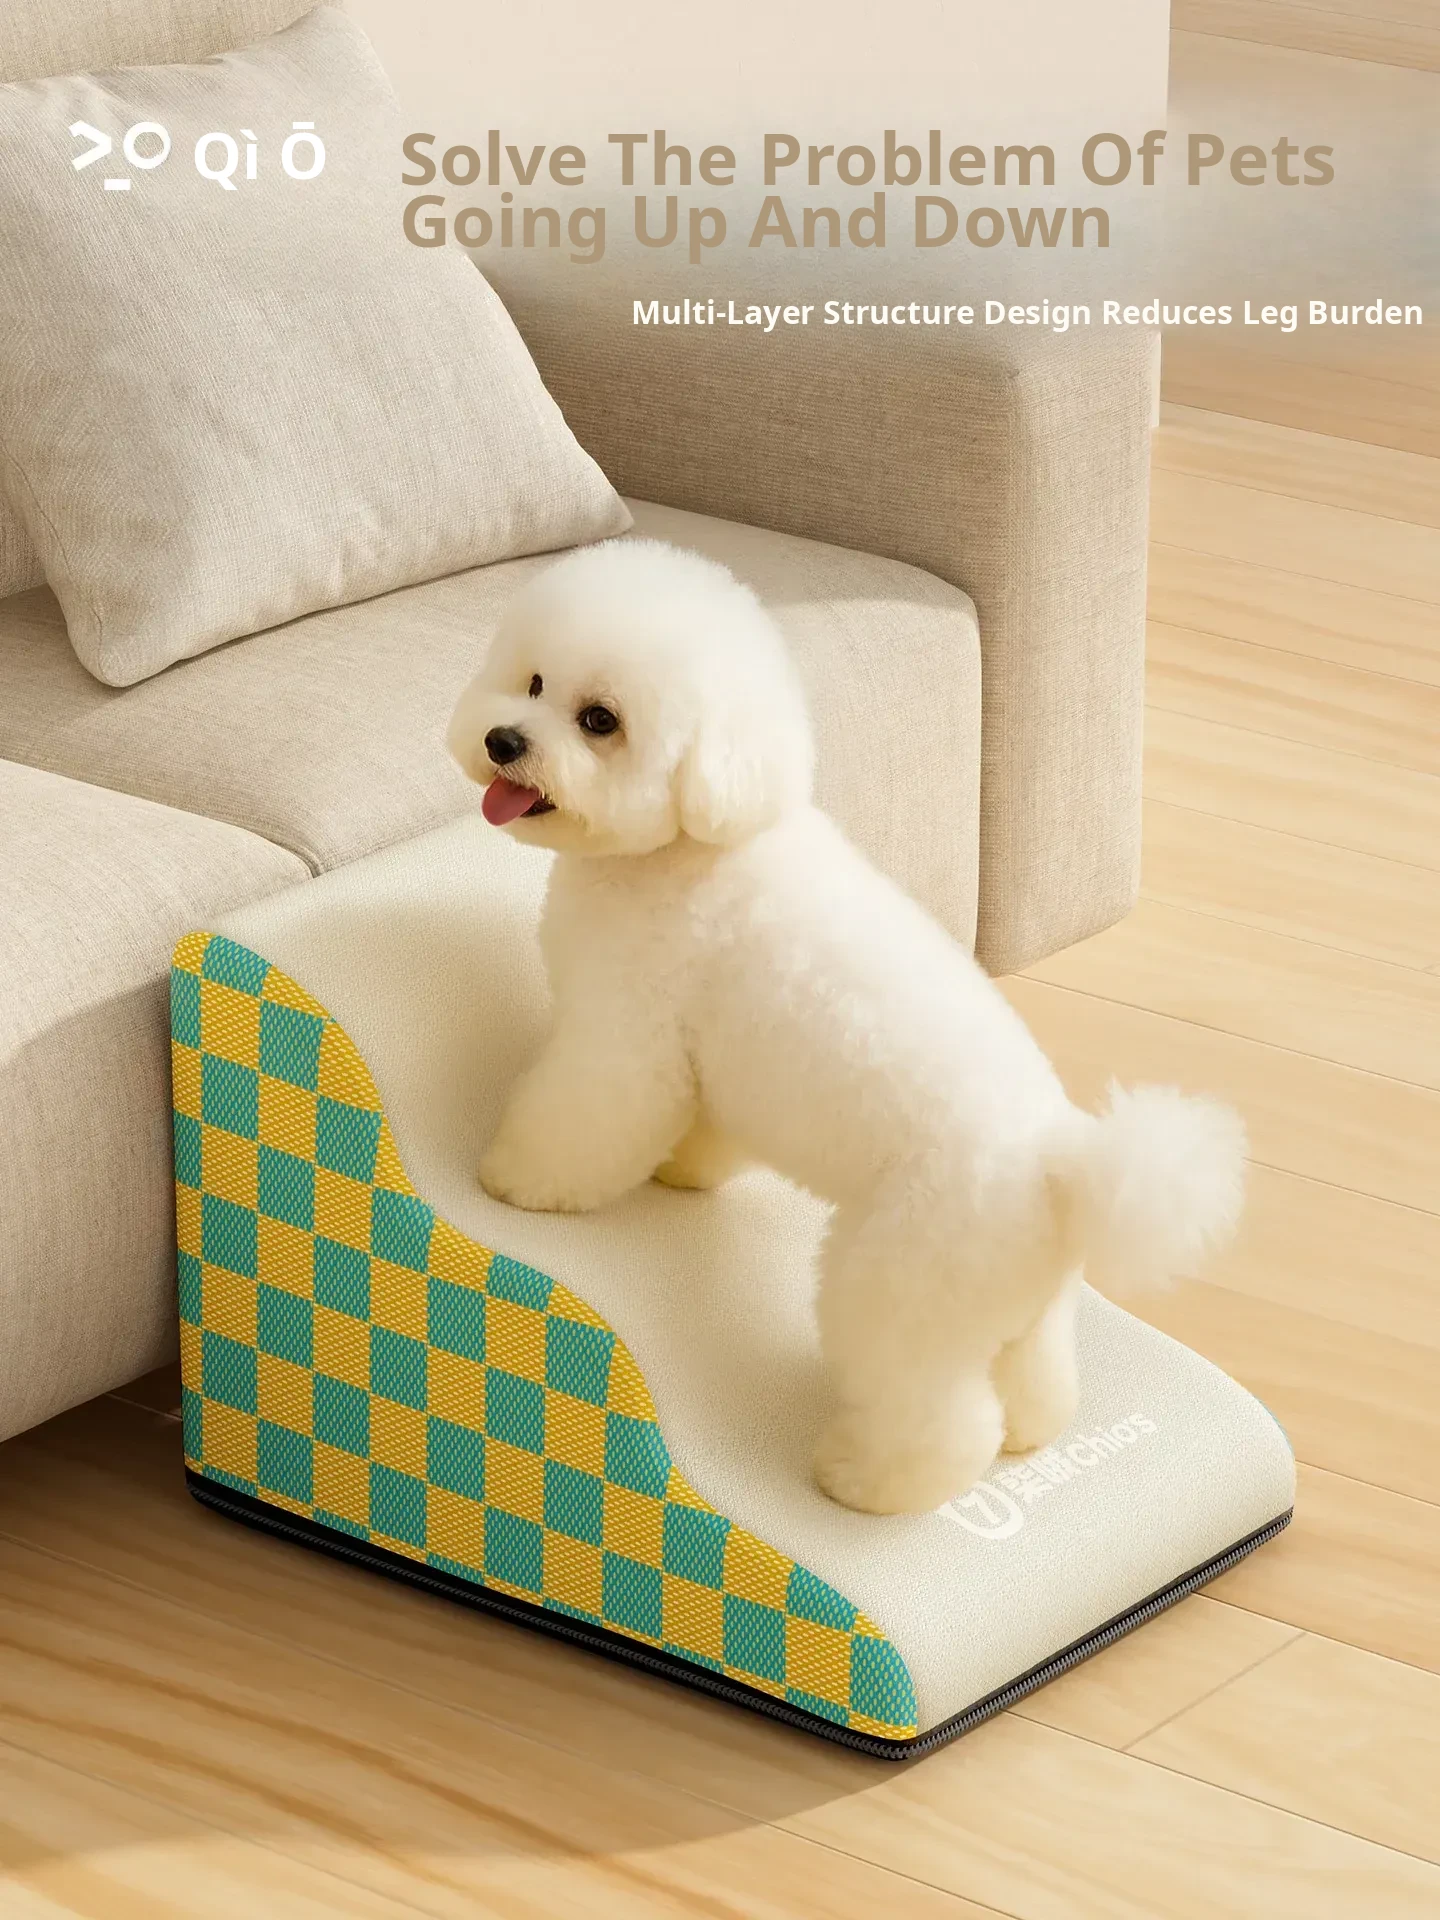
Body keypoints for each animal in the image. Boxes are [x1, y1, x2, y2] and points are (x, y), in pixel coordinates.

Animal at [447, 539, 1246, 1515]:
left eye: (600, 720)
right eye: (530, 682)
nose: (503, 741)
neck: (692, 843)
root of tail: (1064, 1168)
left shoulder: (625, 1037)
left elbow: (582, 1119)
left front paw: (518, 1180)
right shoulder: (707, 1061)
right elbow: (704, 1125)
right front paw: (685, 1171)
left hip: (897, 1286)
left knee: (941, 1420)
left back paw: (865, 1481)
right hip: (1023, 1304)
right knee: (1035, 1376)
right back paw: (1030, 1430)